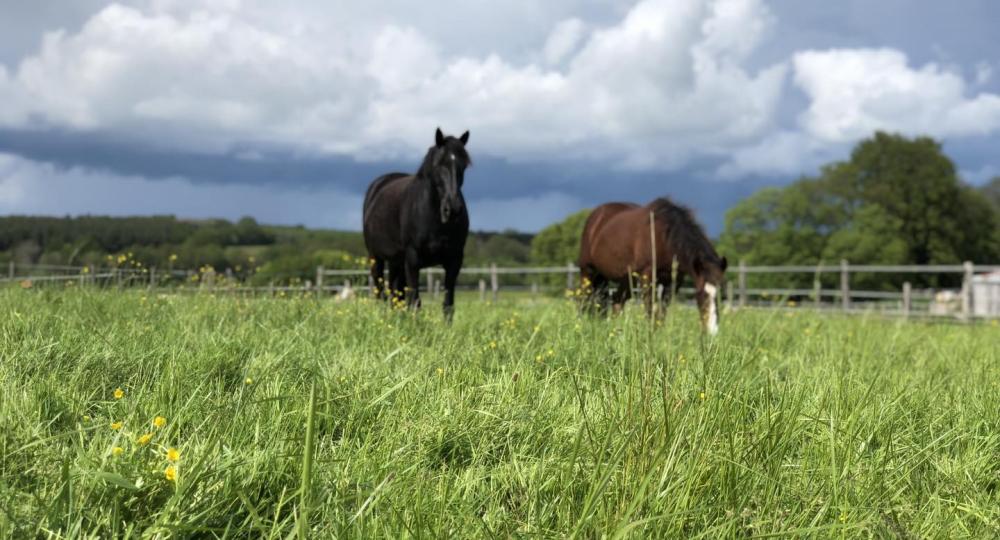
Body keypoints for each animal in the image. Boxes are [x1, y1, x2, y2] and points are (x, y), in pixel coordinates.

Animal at [362, 127, 470, 320]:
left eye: (464, 165)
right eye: (439, 165)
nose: (453, 210)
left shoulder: (454, 260)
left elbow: (448, 305)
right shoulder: (413, 259)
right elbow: (415, 302)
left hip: (396, 262)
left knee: (395, 295)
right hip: (376, 258)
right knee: (380, 294)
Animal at [580, 197, 728, 334]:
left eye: (721, 295)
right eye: (701, 294)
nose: (712, 331)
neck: (664, 237)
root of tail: (596, 215)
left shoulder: (673, 281)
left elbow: (662, 312)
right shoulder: (647, 276)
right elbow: (650, 309)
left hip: (625, 279)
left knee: (616, 302)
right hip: (588, 271)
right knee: (584, 299)